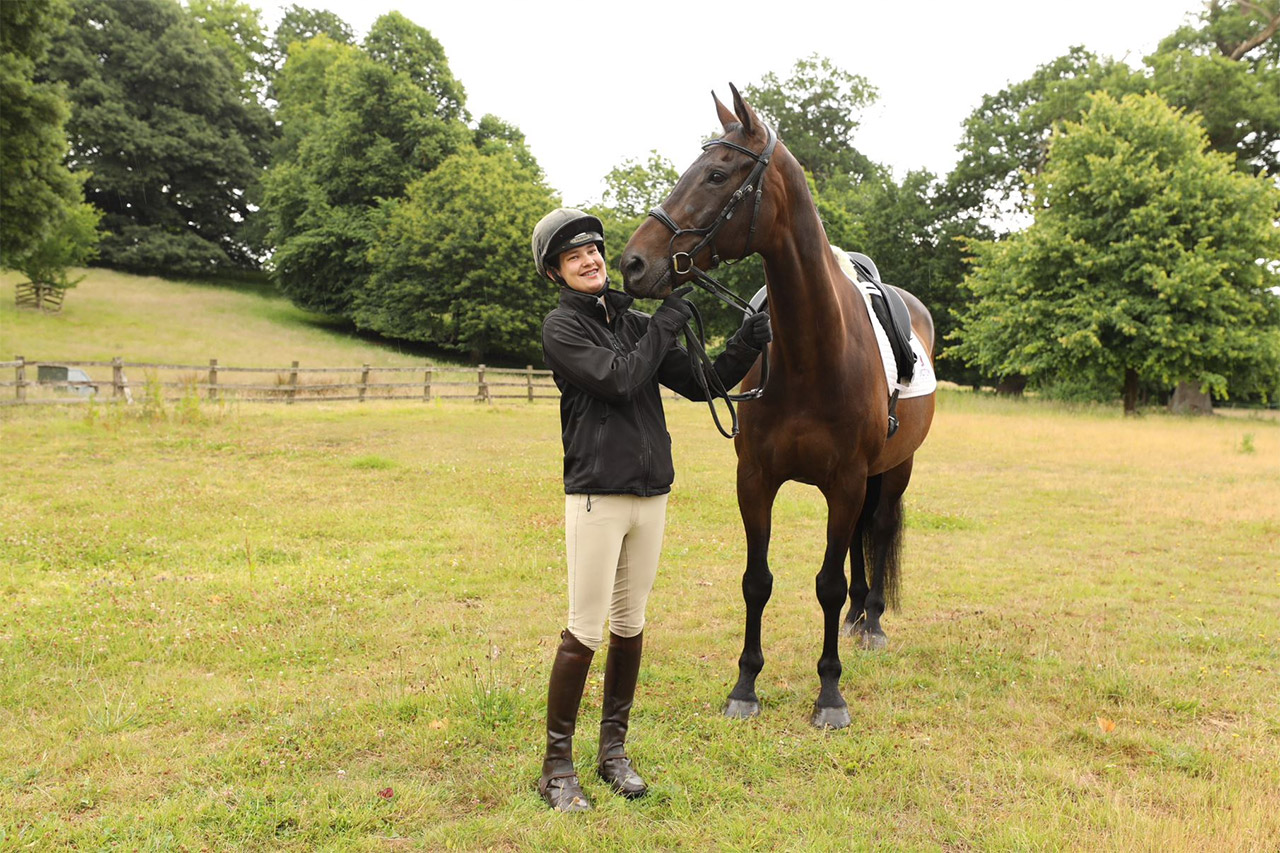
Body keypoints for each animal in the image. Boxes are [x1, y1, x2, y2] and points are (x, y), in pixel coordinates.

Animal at [614, 84, 936, 722]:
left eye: (716, 174)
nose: (634, 262)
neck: (815, 352)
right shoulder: (757, 480)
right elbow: (756, 581)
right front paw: (745, 686)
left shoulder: (846, 481)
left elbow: (827, 583)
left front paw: (830, 694)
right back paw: (859, 616)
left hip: (892, 473)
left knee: (877, 529)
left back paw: (872, 622)